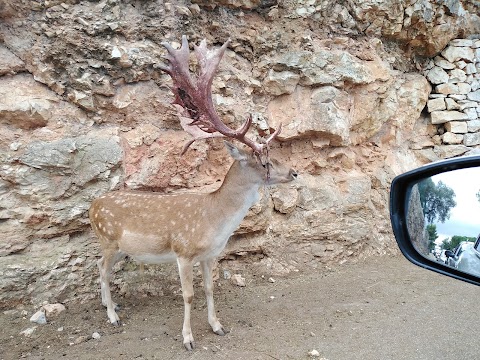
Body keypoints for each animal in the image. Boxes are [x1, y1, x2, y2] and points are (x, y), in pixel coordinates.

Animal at [87, 35, 294, 350]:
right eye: (264, 161)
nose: (294, 172)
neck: (214, 220)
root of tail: (92, 206)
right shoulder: (183, 252)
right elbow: (188, 295)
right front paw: (187, 338)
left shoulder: (210, 255)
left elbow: (209, 288)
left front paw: (217, 326)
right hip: (108, 238)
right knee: (100, 267)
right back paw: (112, 315)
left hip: (121, 247)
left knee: (102, 267)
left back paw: (107, 305)